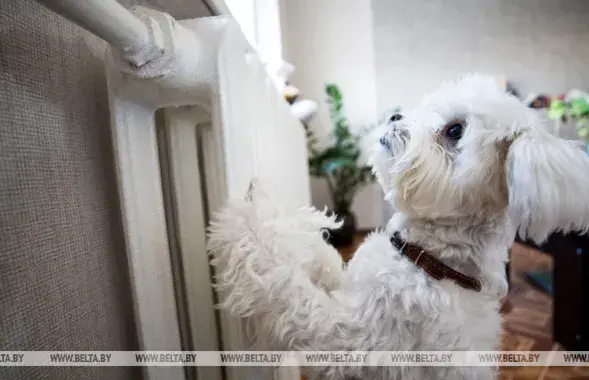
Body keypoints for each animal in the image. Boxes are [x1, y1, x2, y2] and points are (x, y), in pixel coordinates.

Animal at [207, 73, 588, 378]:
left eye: (455, 130)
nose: (395, 115)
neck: (429, 261)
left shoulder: (346, 344)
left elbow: (287, 287)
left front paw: (249, 223)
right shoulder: (350, 286)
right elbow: (327, 263)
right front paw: (303, 232)